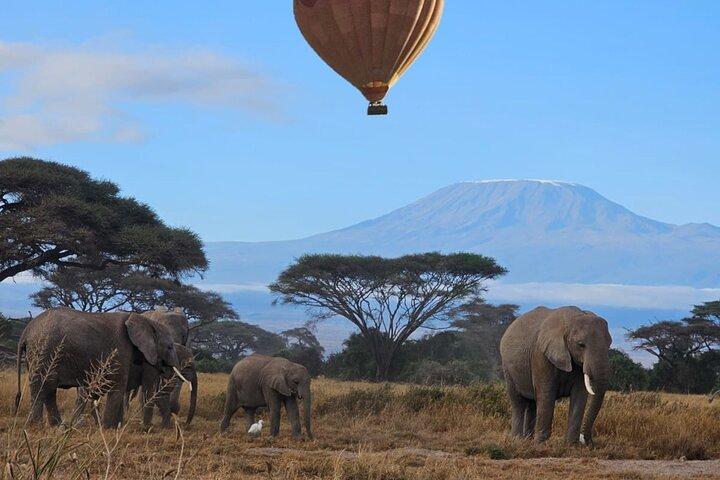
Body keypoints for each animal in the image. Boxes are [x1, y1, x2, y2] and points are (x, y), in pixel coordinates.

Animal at [15, 308, 189, 429]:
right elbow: (118, 386)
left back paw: (57, 425)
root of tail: (25, 331)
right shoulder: (120, 348)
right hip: (44, 350)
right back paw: (36, 426)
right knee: (42, 387)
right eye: (169, 347)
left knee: (48, 388)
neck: (144, 320)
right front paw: (109, 428)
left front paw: (116, 426)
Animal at [500, 306, 612, 444]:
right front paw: (541, 443)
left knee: (532, 403)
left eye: (609, 345)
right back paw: (517, 439)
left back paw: (527, 439)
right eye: (581, 345)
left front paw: (571, 445)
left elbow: (579, 396)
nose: (589, 442)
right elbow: (546, 394)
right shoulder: (540, 355)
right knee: (517, 402)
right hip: (507, 367)